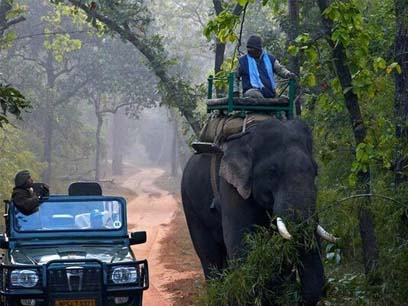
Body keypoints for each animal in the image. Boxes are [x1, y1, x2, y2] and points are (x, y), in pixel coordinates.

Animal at [182, 118, 338, 304]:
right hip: (190, 204)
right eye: (272, 172)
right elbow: (241, 244)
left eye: (315, 172)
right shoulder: (231, 186)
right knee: (210, 256)